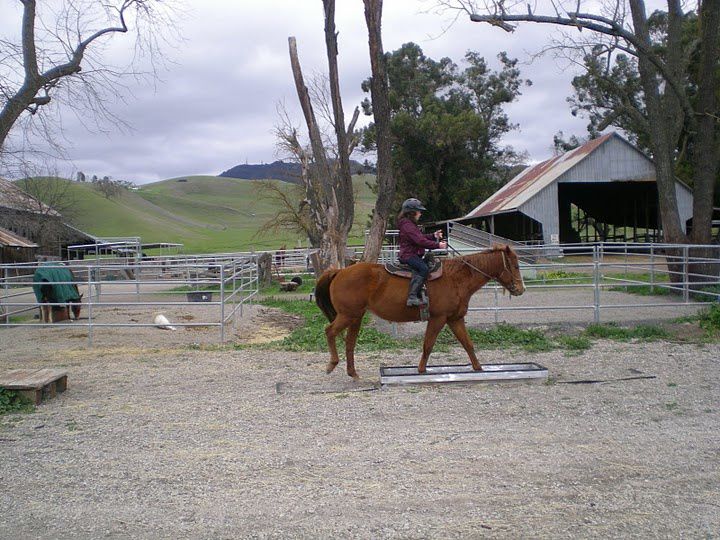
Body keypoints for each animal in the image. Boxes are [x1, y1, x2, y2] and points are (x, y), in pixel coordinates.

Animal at [316, 246, 524, 378]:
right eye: (515, 265)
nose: (520, 289)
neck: (456, 278)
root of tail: (339, 271)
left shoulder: (455, 319)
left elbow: (468, 344)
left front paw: (479, 368)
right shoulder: (438, 318)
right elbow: (428, 345)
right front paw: (421, 370)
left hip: (355, 317)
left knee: (350, 343)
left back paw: (353, 373)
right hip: (348, 316)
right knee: (329, 331)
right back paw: (332, 364)